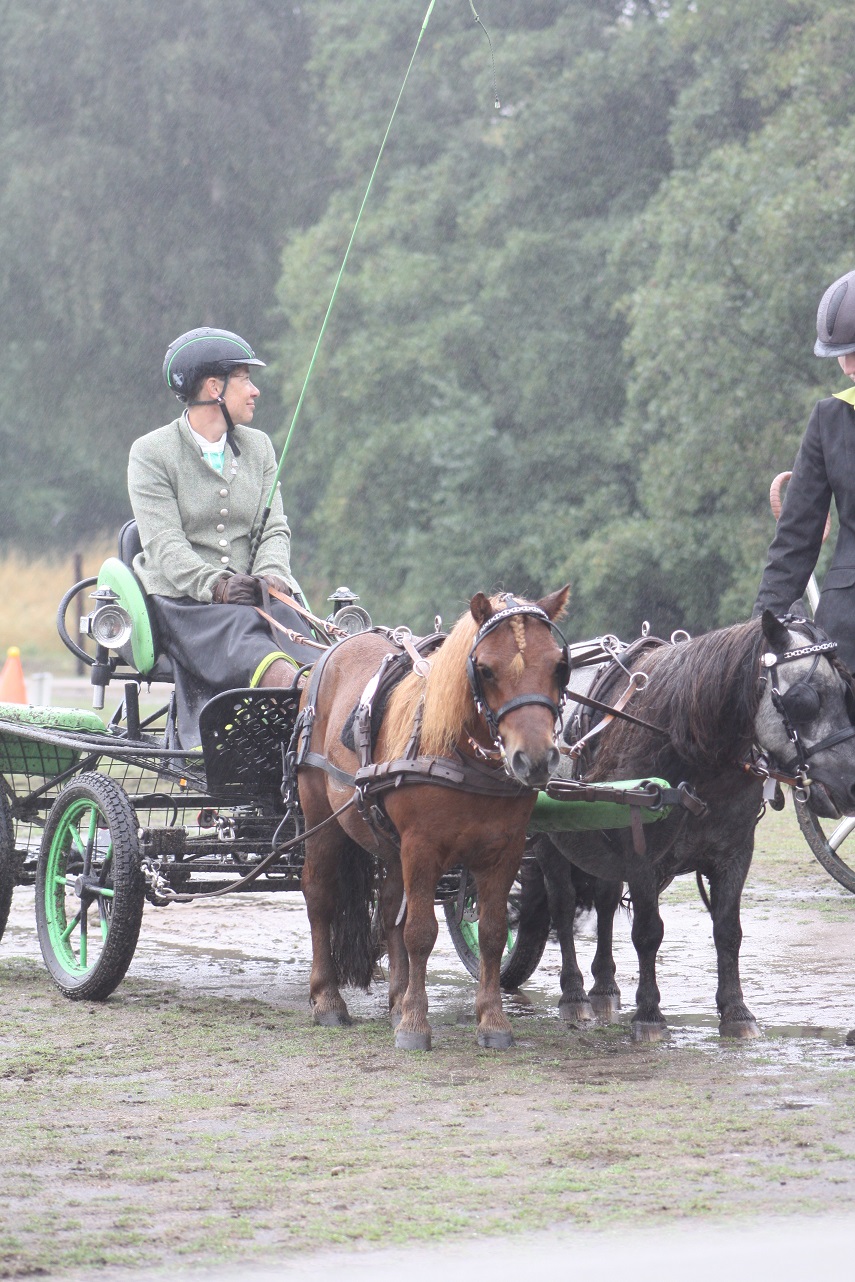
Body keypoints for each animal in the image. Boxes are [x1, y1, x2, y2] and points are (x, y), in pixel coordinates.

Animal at [297, 589, 571, 1051]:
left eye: (558, 665)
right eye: (486, 669)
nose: (534, 759)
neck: (460, 755)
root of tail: (338, 646)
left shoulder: (506, 851)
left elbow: (493, 933)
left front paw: (492, 1020)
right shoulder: (421, 847)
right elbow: (420, 933)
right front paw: (414, 1025)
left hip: (387, 841)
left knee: (391, 907)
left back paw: (396, 999)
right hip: (323, 820)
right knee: (320, 898)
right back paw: (328, 1000)